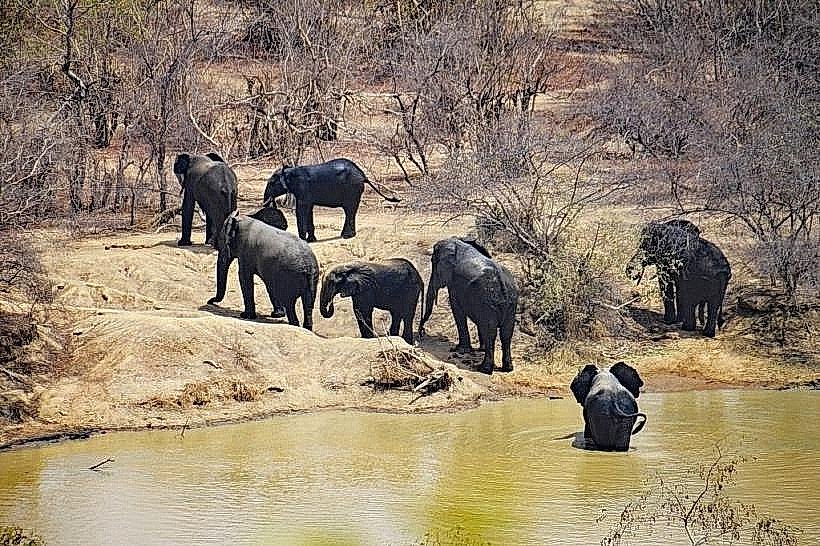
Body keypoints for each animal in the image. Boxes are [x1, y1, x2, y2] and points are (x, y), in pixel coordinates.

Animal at [262, 158, 399, 242]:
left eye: (272, 183)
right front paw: (311, 240)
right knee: (350, 211)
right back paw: (347, 235)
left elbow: (302, 210)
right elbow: (309, 210)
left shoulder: (302, 188)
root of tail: (363, 175)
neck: (289, 170)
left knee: (349, 210)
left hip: (352, 188)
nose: (269, 203)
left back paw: (347, 236)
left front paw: (303, 240)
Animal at [418, 237, 518, 374]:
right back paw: (507, 368)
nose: (421, 331)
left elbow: (457, 310)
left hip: (488, 301)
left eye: (433, 262)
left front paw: (460, 350)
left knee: (490, 332)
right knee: (506, 333)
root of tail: (501, 283)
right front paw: (479, 349)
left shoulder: (455, 284)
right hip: (509, 304)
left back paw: (484, 369)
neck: (459, 243)